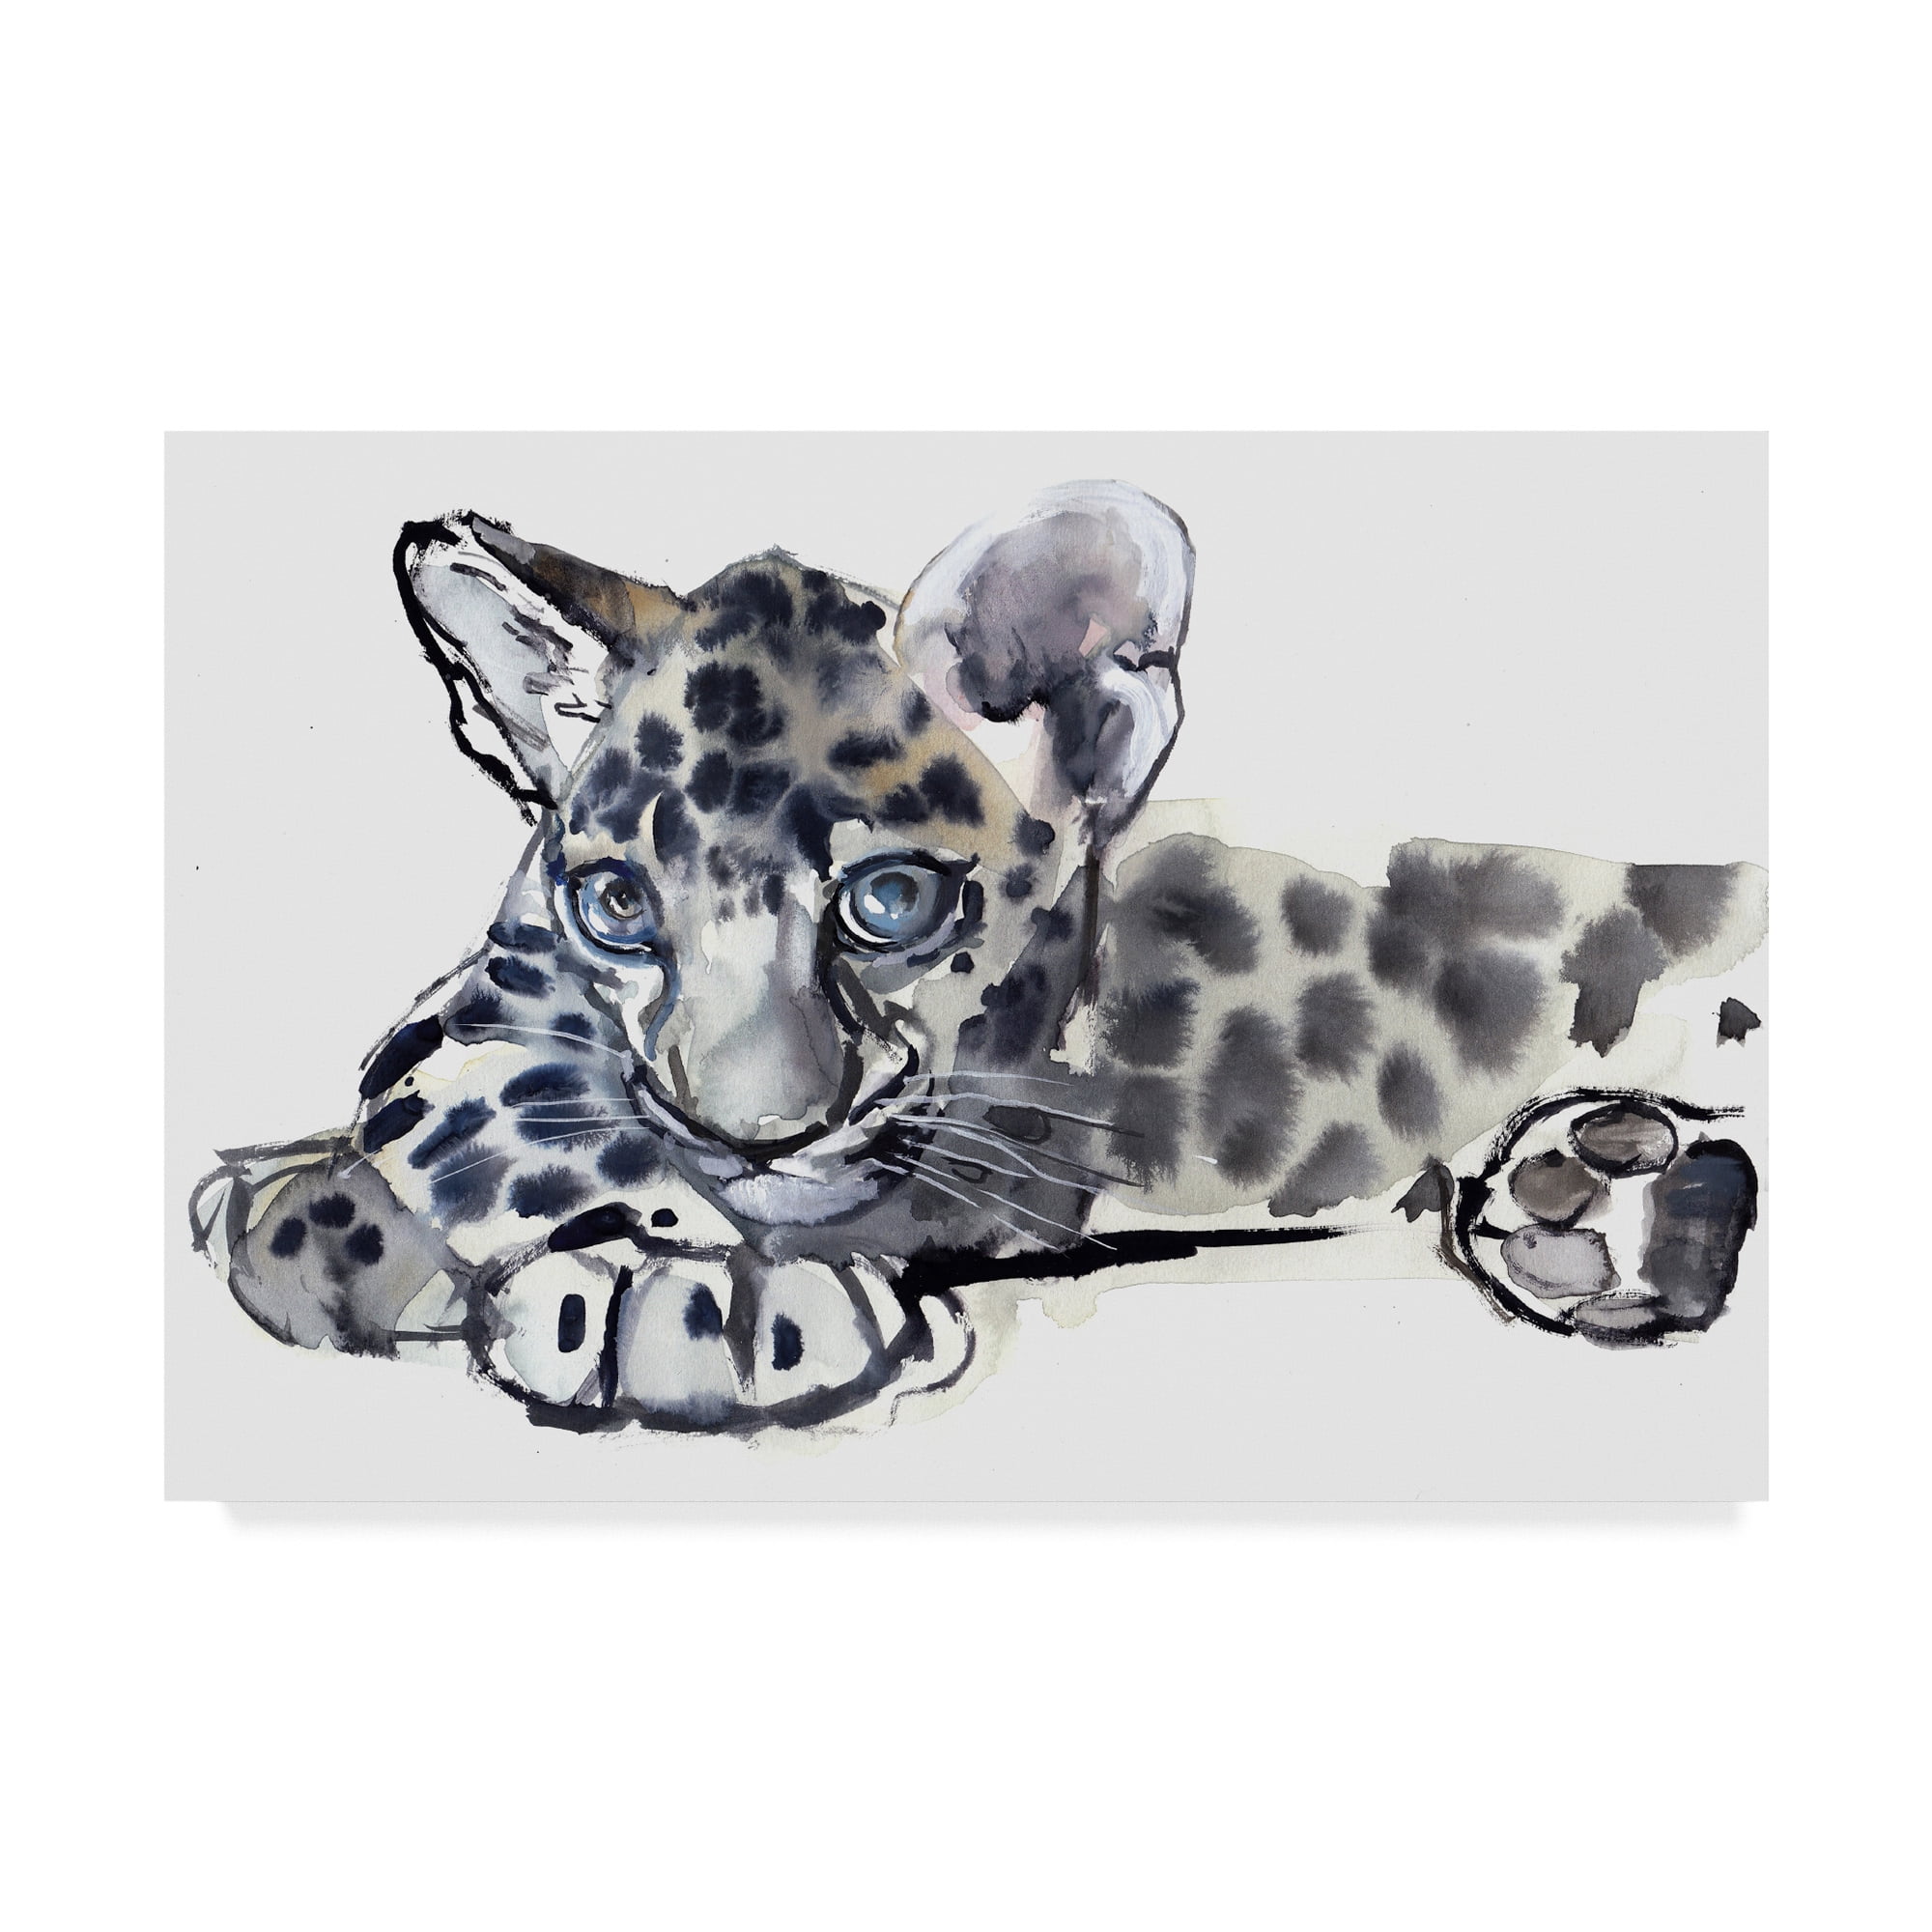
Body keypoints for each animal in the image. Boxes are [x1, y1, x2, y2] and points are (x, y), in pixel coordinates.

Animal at [189, 481, 1767, 1438]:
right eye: (620, 904)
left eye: (890, 902)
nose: (750, 1137)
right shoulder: (497, 995)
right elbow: (467, 1093)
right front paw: (311, 1206)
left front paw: (691, 1300)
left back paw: (1614, 1189)